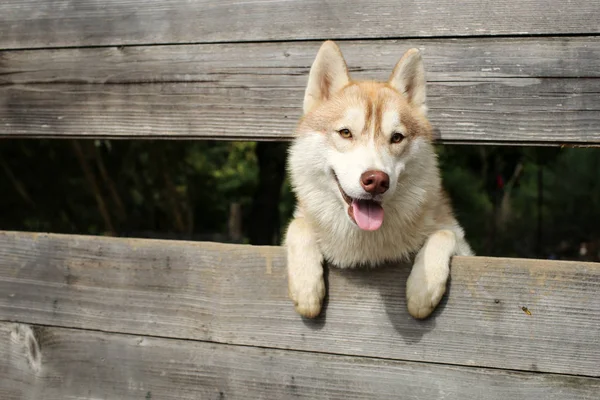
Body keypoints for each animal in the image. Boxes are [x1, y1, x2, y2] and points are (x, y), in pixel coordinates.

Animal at [286, 40, 474, 320]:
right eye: (345, 133)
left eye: (396, 137)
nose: (376, 180)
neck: (366, 246)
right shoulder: (301, 221)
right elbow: (296, 226)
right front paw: (306, 286)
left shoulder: (462, 242)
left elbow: (444, 234)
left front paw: (423, 288)